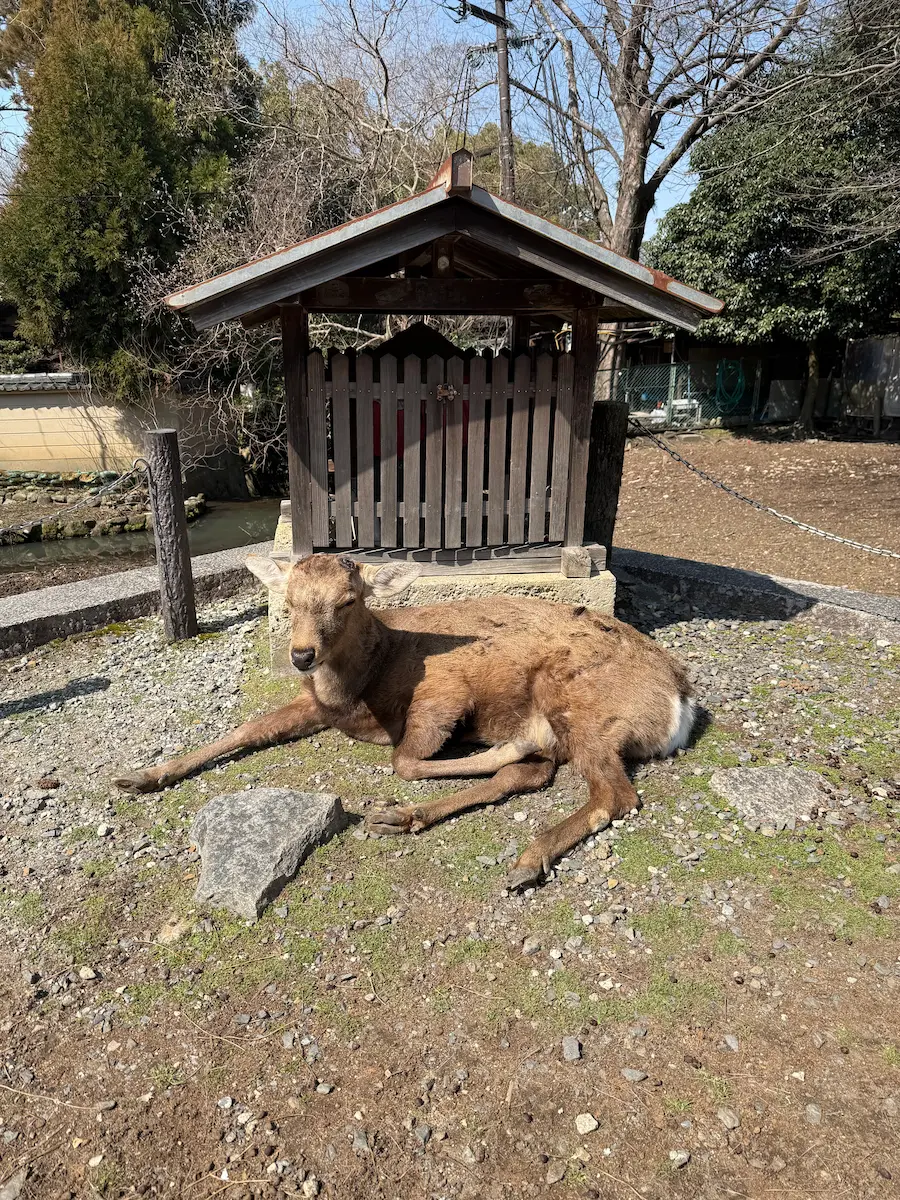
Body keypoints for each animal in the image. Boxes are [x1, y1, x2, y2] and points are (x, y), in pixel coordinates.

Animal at [113, 553, 696, 889]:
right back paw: (405, 816)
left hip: (580, 701)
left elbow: (405, 760)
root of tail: (681, 701)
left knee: (613, 794)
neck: (367, 682)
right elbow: (246, 728)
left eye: (348, 600)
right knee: (539, 776)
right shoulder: (318, 706)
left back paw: (528, 852)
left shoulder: (443, 693)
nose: (301, 655)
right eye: (289, 600)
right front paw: (142, 775)